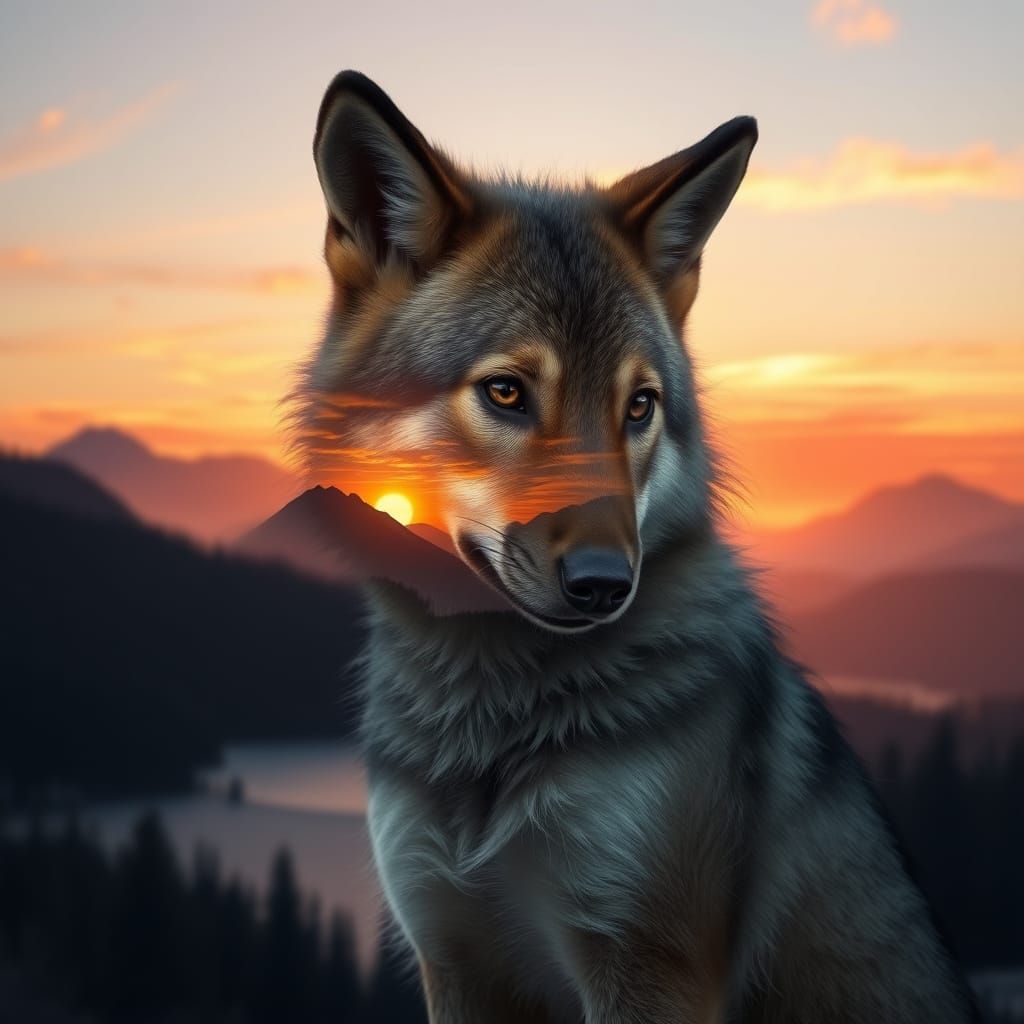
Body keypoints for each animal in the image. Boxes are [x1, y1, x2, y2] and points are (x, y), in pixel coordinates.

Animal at [297, 70, 979, 1023]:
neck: (491, 721)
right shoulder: (454, 958)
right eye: (506, 393)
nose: (604, 583)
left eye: (639, 407)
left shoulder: (651, 967)